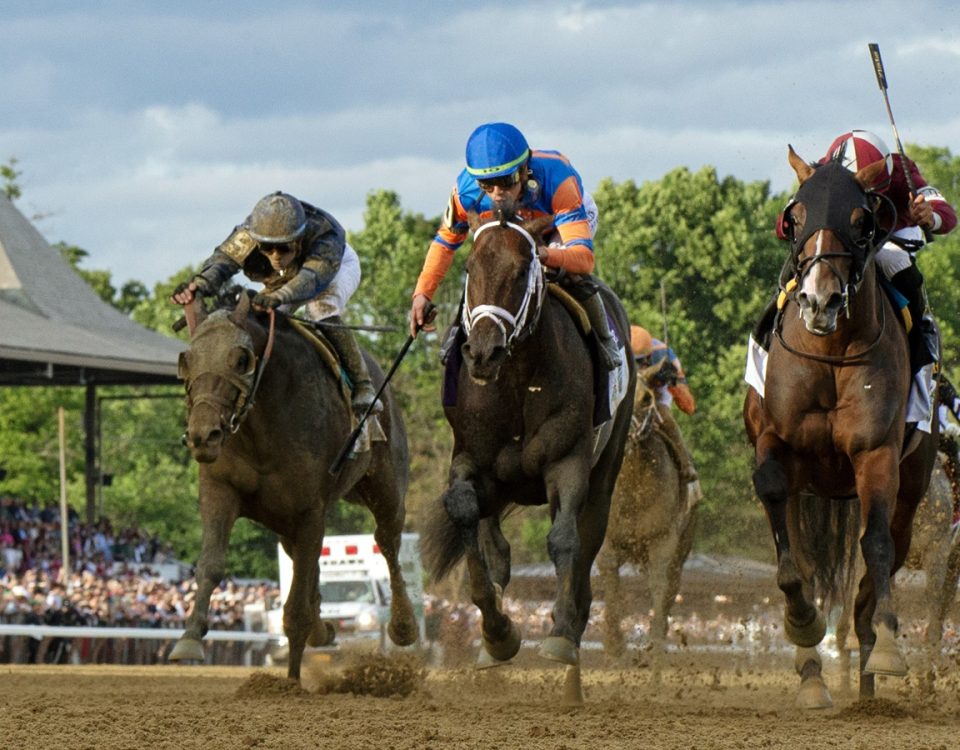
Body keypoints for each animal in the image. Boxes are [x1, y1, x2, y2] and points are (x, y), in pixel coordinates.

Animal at [169, 292, 416, 680]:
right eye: (187, 360)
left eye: (241, 359)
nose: (202, 435)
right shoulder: (220, 489)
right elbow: (210, 564)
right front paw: (189, 639)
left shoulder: (310, 509)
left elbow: (296, 606)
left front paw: (291, 680)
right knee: (304, 558)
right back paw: (322, 627)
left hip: (385, 484)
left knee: (388, 540)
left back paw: (403, 625)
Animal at [422, 210, 636, 704]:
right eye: (469, 269)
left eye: (522, 272)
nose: (483, 351)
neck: (517, 381)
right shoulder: (473, 461)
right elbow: (469, 520)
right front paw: (498, 633)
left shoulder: (567, 463)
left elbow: (565, 541)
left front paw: (560, 633)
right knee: (496, 546)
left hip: (605, 469)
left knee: (585, 546)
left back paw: (571, 655)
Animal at [596, 358, 700, 676]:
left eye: (646, 399)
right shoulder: (607, 544)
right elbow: (612, 588)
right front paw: (614, 645)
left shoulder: (662, 542)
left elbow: (659, 588)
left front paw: (655, 649)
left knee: (669, 590)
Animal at [744, 148, 936, 712]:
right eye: (795, 217)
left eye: (861, 221)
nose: (819, 301)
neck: (829, 353)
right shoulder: (775, 442)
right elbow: (787, 548)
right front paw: (803, 622)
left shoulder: (875, 454)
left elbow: (876, 545)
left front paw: (890, 647)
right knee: (804, 560)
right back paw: (812, 675)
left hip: (910, 490)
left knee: (879, 567)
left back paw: (870, 680)